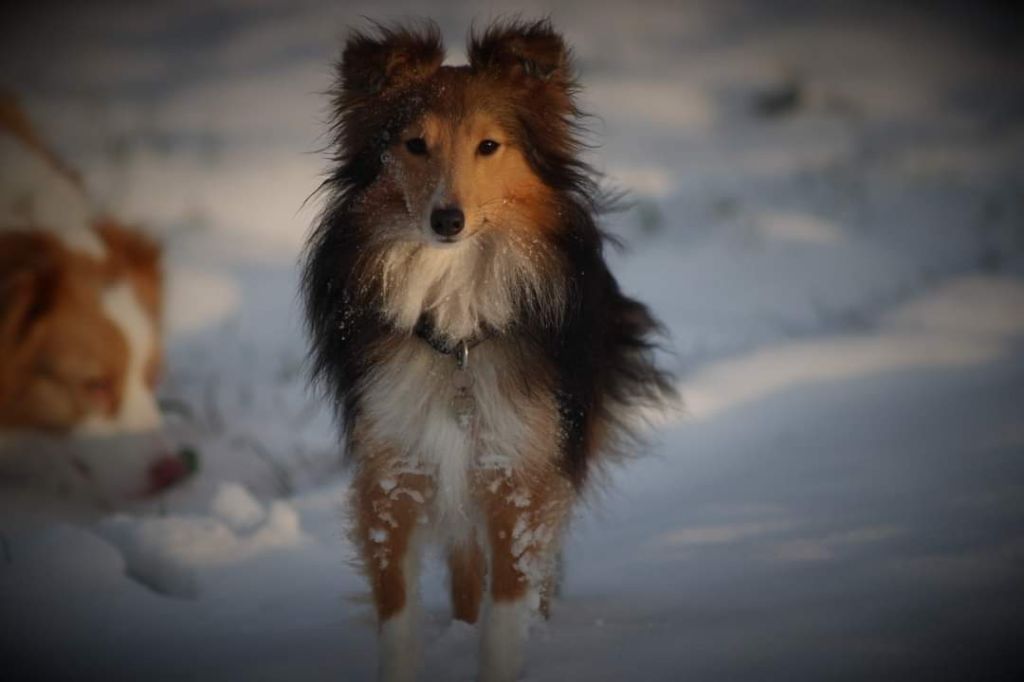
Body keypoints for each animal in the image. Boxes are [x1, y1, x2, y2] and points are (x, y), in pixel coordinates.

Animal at [301, 18, 671, 675]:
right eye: (414, 145)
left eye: (489, 146)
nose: (446, 220)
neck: (457, 334)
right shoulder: (395, 466)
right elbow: (396, 606)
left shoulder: (518, 470)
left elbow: (509, 604)